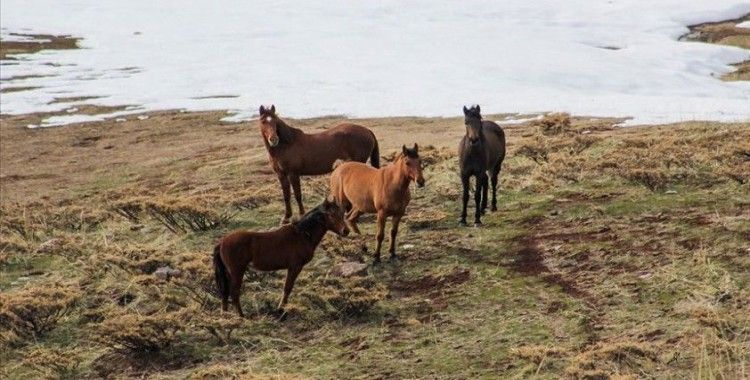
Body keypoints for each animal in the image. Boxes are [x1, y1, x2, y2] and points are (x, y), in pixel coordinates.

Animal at [213, 199, 352, 318]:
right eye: (331, 215)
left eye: (342, 214)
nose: (345, 231)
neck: (302, 234)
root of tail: (222, 242)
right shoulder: (294, 267)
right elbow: (287, 288)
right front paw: (281, 308)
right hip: (237, 271)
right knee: (234, 292)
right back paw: (241, 316)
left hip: (229, 272)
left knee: (225, 292)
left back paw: (226, 315)